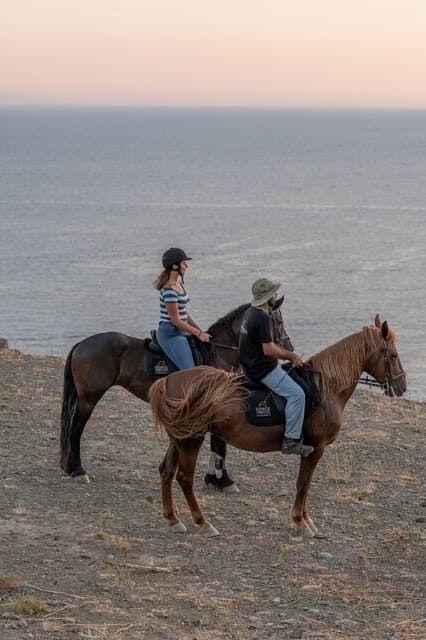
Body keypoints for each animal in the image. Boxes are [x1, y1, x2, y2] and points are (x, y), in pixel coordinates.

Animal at [59, 297, 291, 484]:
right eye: (278, 321)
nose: (289, 347)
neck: (217, 351)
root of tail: (82, 344)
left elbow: (217, 442)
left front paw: (214, 478)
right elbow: (219, 443)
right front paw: (222, 480)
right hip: (89, 398)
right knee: (75, 429)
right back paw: (78, 470)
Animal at [148, 315, 406, 538]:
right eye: (393, 355)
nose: (402, 386)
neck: (324, 387)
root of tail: (169, 381)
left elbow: (305, 485)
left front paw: (306, 520)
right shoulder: (316, 447)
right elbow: (303, 483)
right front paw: (301, 522)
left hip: (178, 439)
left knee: (166, 471)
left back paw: (173, 519)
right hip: (191, 440)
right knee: (184, 478)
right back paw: (203, 523)